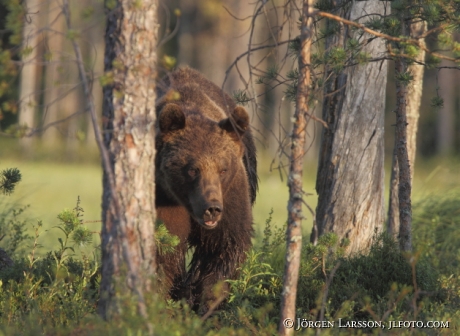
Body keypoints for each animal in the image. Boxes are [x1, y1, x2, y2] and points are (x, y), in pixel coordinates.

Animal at [154, 68, 255, 312]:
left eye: (222, 168)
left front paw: (208, 304)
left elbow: (225, 249)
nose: (212, 208)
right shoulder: (163, 197)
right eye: (192, 169)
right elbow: (164, 252)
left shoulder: (232, 196)